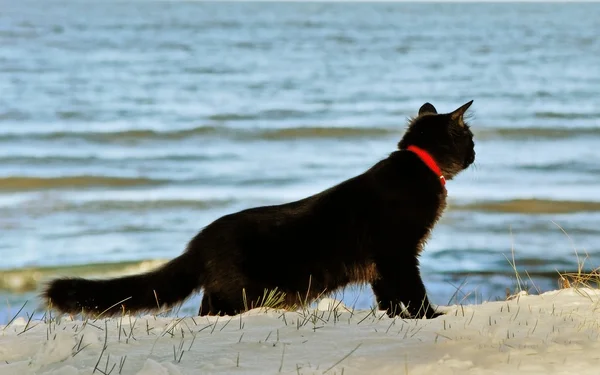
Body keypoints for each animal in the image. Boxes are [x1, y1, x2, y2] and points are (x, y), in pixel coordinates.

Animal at [42, 100, 476, 320]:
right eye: (469, 137)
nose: (476, 153)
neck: (420, 166)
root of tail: (197, 244)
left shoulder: (381, 262)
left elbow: (388, 295)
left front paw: (395, 319)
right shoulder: (398, 253)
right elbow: (412, 290)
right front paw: (429, 317)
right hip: (242, 291)